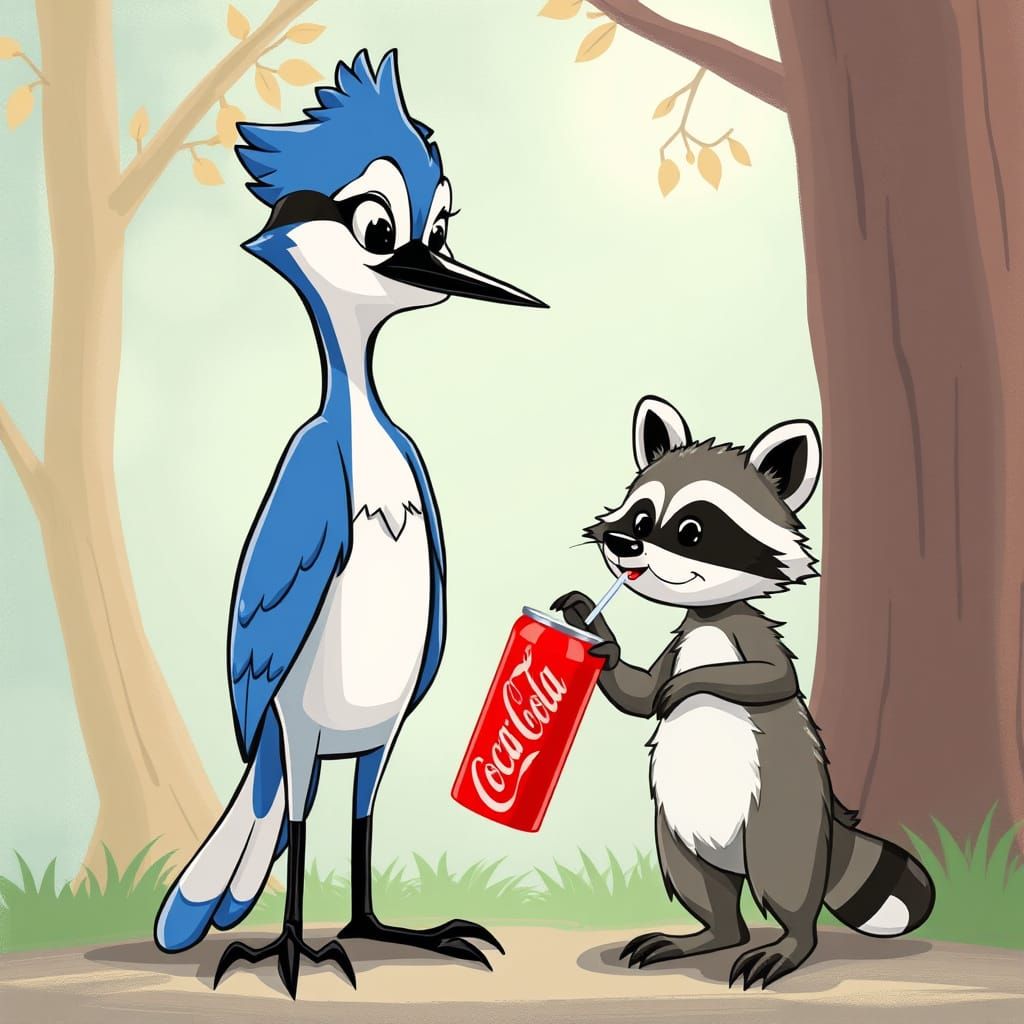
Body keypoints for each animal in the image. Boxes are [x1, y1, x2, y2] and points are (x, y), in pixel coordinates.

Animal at [554, 396, 934, 990]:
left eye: (691, 530)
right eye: (640, 515)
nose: (622, 544)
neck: (710, 612)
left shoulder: (749, 636)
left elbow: (768, 678)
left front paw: (688, 685)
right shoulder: (683, 639)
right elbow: (641, 694)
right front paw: (602, 640)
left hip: (781, 814)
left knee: (788, 883)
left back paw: (789, 944)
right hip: (675, 831)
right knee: (704, 890)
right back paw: (706, 934)